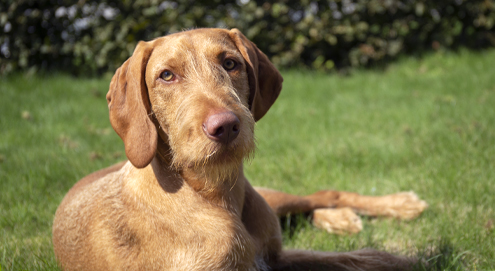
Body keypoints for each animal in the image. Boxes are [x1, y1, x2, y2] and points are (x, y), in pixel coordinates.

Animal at [52, 28, 428, 270]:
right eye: (166, 76)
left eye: (230, 63)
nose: (225, 126)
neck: (215, 195)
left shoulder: (274, 257)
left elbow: (360, 257)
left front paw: (407, 256)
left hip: (273, 200)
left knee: (323, 194)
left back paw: (394, 205)